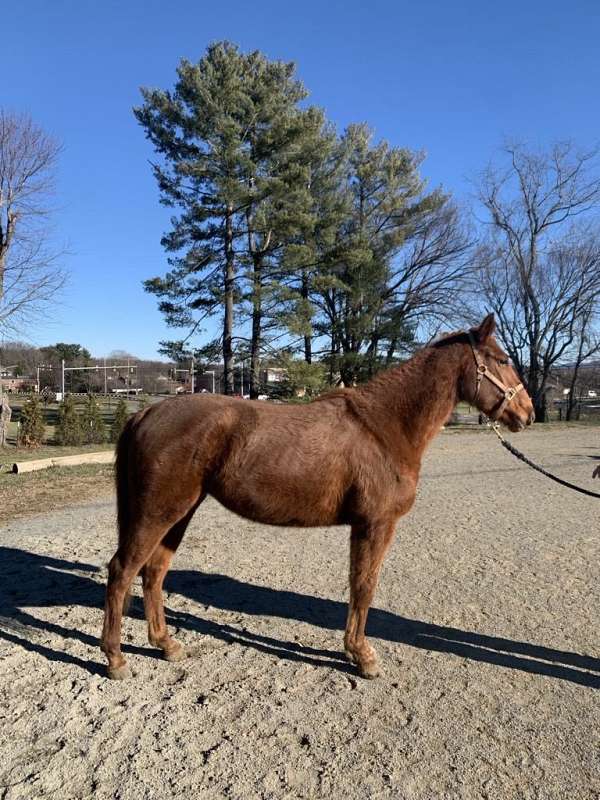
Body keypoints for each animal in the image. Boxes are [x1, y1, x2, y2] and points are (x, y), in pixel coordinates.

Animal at [101, 316, 532, 680]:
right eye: (503, 359)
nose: (527, 413)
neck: (384, 427)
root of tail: (145, 414)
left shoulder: (365, 525)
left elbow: (359, 583)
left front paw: (354, 650)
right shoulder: (375, 524)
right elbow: (364, 585)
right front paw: (362, 656)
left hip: (180, 512)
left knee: (154, 572)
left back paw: (167, 645)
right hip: (158, 512)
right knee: (122, 571)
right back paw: (116, 659)